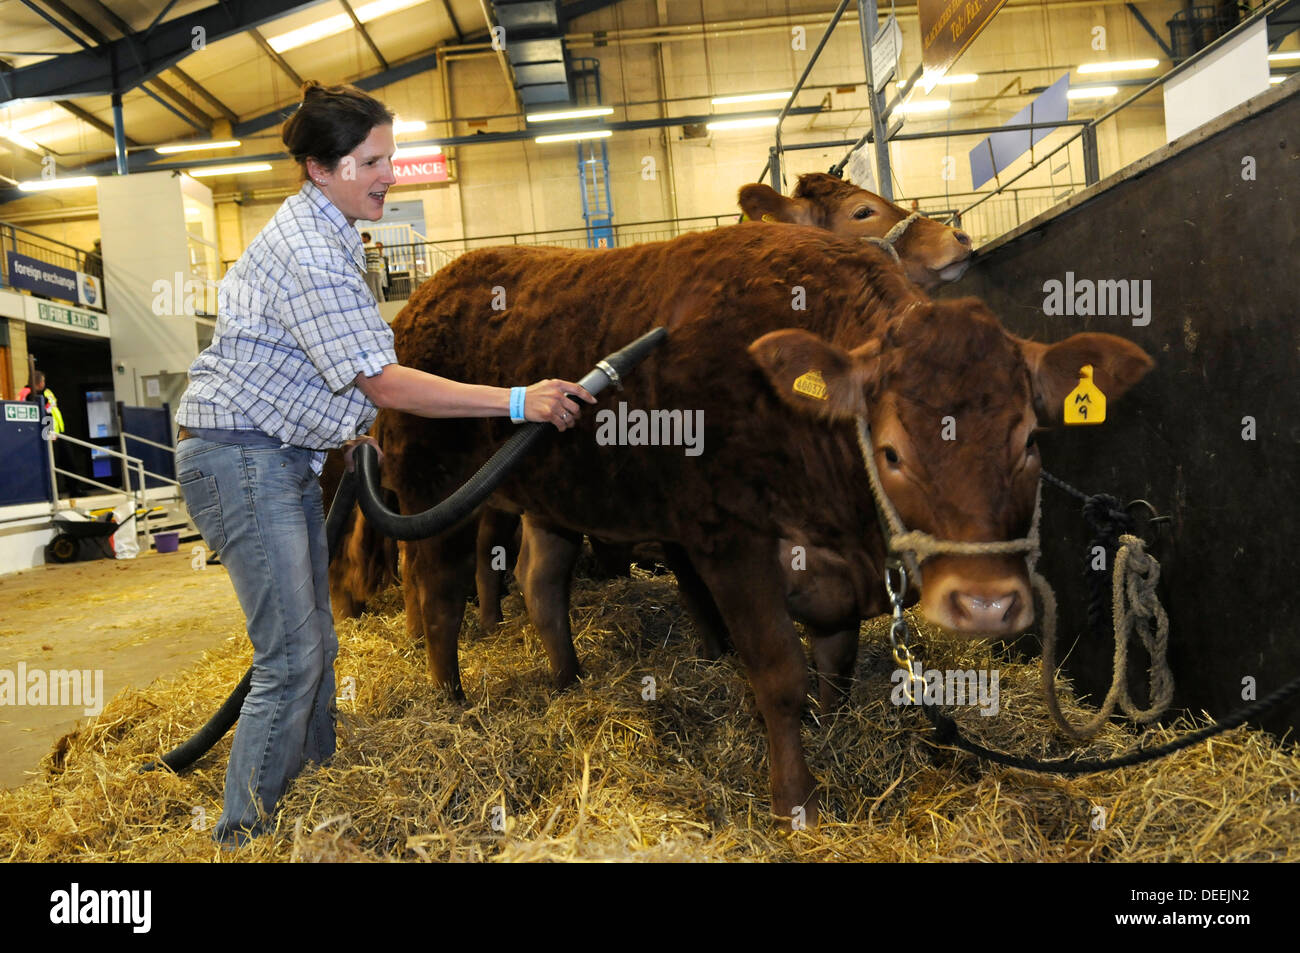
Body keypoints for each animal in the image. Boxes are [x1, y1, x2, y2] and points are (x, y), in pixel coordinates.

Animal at [377, 224, 1149, 826]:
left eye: (1029, 441)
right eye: (892, 450)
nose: (985, 603)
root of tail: (429, 291)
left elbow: (834, 663)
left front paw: (833, 727)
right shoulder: (731, 544)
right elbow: (779, 673)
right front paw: (795, 801)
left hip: (557, 500)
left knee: (541, 587)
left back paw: (568, 682)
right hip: (434, 488)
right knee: (438, 595)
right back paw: (451, 699)